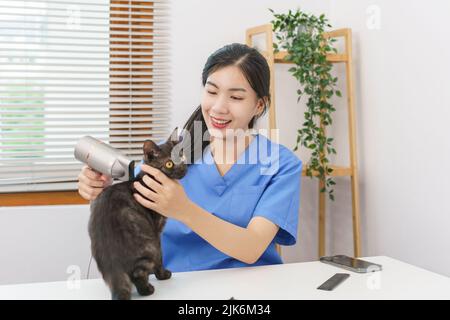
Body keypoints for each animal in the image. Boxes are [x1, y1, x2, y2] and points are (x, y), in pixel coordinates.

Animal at [89, 127, 187, 300]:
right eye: (169, 163)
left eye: (181, 154)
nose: (183, 168)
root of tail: (113, 264)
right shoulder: (157, 230)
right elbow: (161, 258)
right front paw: (163, 275)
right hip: (150, 246)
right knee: (138, 273)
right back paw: (147, 289)